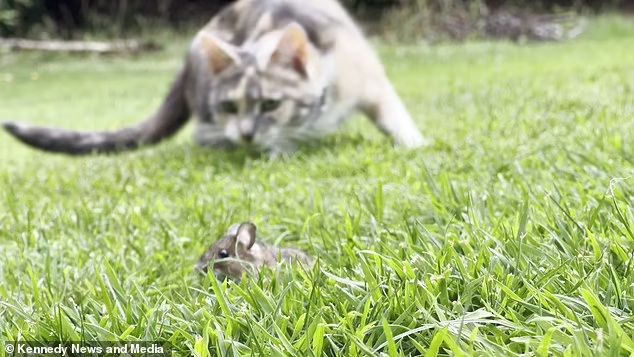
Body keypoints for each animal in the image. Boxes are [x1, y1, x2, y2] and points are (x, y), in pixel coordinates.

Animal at [2, 0, 428, 154]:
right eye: (230, 106)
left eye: (271, 103)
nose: (246, 134)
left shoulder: (366, 73)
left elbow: (392, 110)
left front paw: (414, 141)